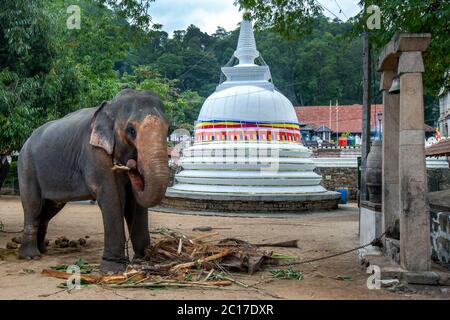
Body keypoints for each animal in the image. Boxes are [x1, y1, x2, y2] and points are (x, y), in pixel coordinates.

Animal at [17, 89, 171, 272]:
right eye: (131, 130)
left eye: (169, 129)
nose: (132, 165)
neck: (110, 107)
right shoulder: (95, 155)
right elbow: (114, 198)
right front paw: (111, 269)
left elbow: (135, 203)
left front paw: (144, 259)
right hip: (26, 166)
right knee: (33, 206)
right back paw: (30, 256)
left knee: (49, 209)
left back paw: (42, 251)